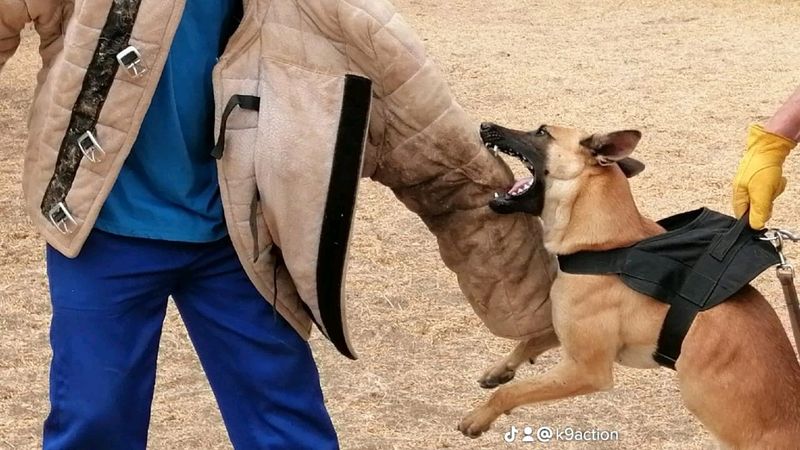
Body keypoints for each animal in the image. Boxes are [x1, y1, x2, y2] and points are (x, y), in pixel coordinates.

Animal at [460, 121, 800, 448]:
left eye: (542, 132)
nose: (485, 125)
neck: (604, 244)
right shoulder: (568, 331)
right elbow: (530, 341)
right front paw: (501, 369)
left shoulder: (587, 370)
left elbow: (512, 392)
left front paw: (479, 417)